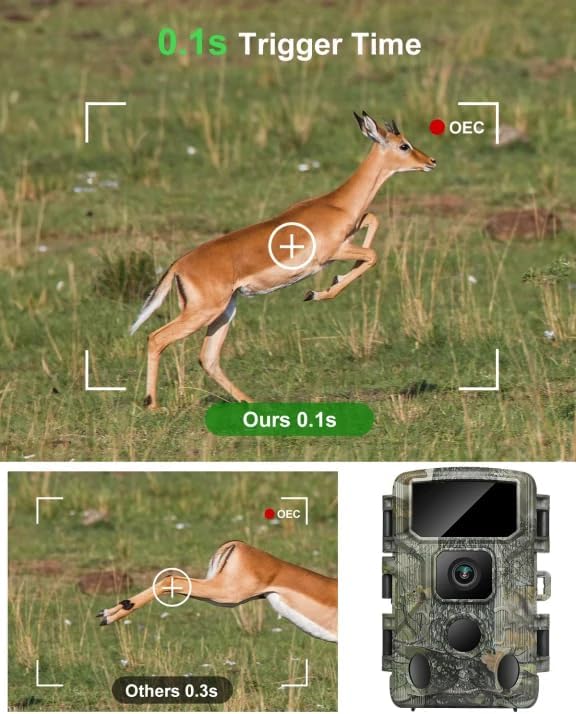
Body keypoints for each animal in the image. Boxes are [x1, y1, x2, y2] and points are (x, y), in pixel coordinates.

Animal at [130, 111, 436, 408]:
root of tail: (179, 265)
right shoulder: (330, 254)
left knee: (208, 358)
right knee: (156, 338)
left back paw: (251, 402)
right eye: (404, 145)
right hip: (202, 312)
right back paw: (153, 405)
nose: (431, 161)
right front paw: (316, 293)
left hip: (224, 311)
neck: (336, 204)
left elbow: (372, 220)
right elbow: (372, 254)